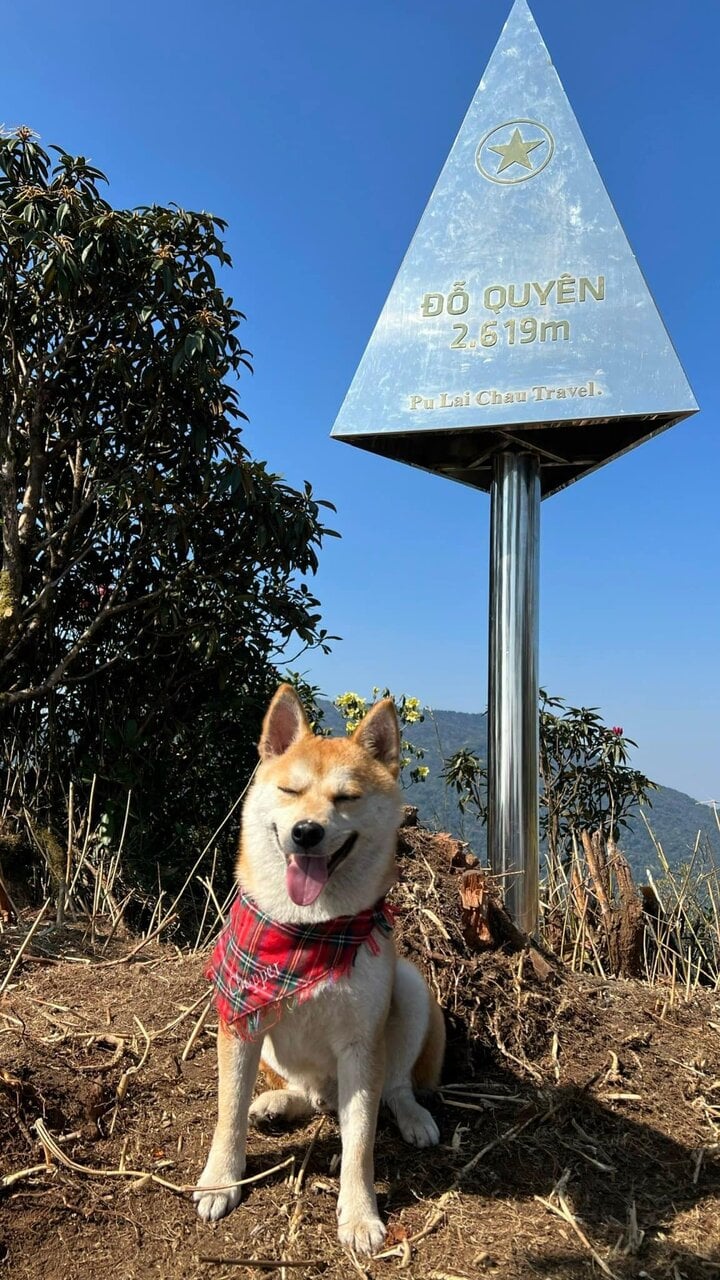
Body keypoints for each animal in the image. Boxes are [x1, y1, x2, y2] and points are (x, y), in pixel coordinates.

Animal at [192, 686, 443, 1254]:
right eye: (290, 790)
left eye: (345, 798)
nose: (306, 832)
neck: (309, 931)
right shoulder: (241, 1019)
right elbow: (228, 1109)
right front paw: (221, 1178)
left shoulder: (361, 1044)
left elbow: (360, 1142)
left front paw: (359, 1214)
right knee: (306, 1094)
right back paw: (279, 1103)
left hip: (411, 989)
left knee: (395, 1086)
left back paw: (414, 1116)